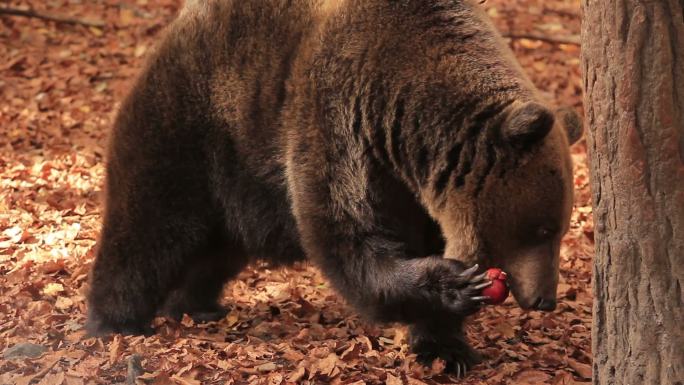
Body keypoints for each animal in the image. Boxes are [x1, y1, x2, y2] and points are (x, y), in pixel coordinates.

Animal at [87, 0, 584, 374]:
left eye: (558, 229)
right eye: (543, 229)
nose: (545, 299)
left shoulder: (414, 185)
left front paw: (447, 349)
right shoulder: (341, 121)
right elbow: (348, 236)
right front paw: (454, 284)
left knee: (214, 253)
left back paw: (196, 305)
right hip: (195, 130)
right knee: (150, 230)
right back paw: (114, 322)